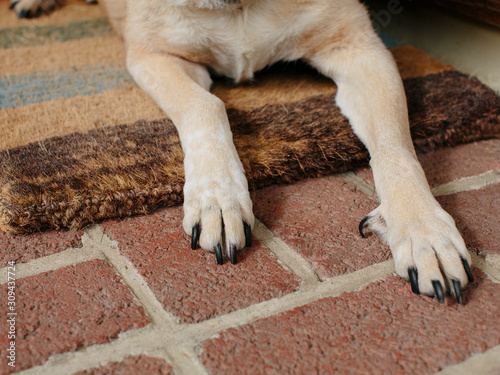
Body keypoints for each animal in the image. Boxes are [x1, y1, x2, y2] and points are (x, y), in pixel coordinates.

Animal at [9, 0, 474, 304]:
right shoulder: (154, 55)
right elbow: (205, 105)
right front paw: (218, 197)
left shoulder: (359, 48)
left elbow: (396, 147)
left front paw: (422, 230)